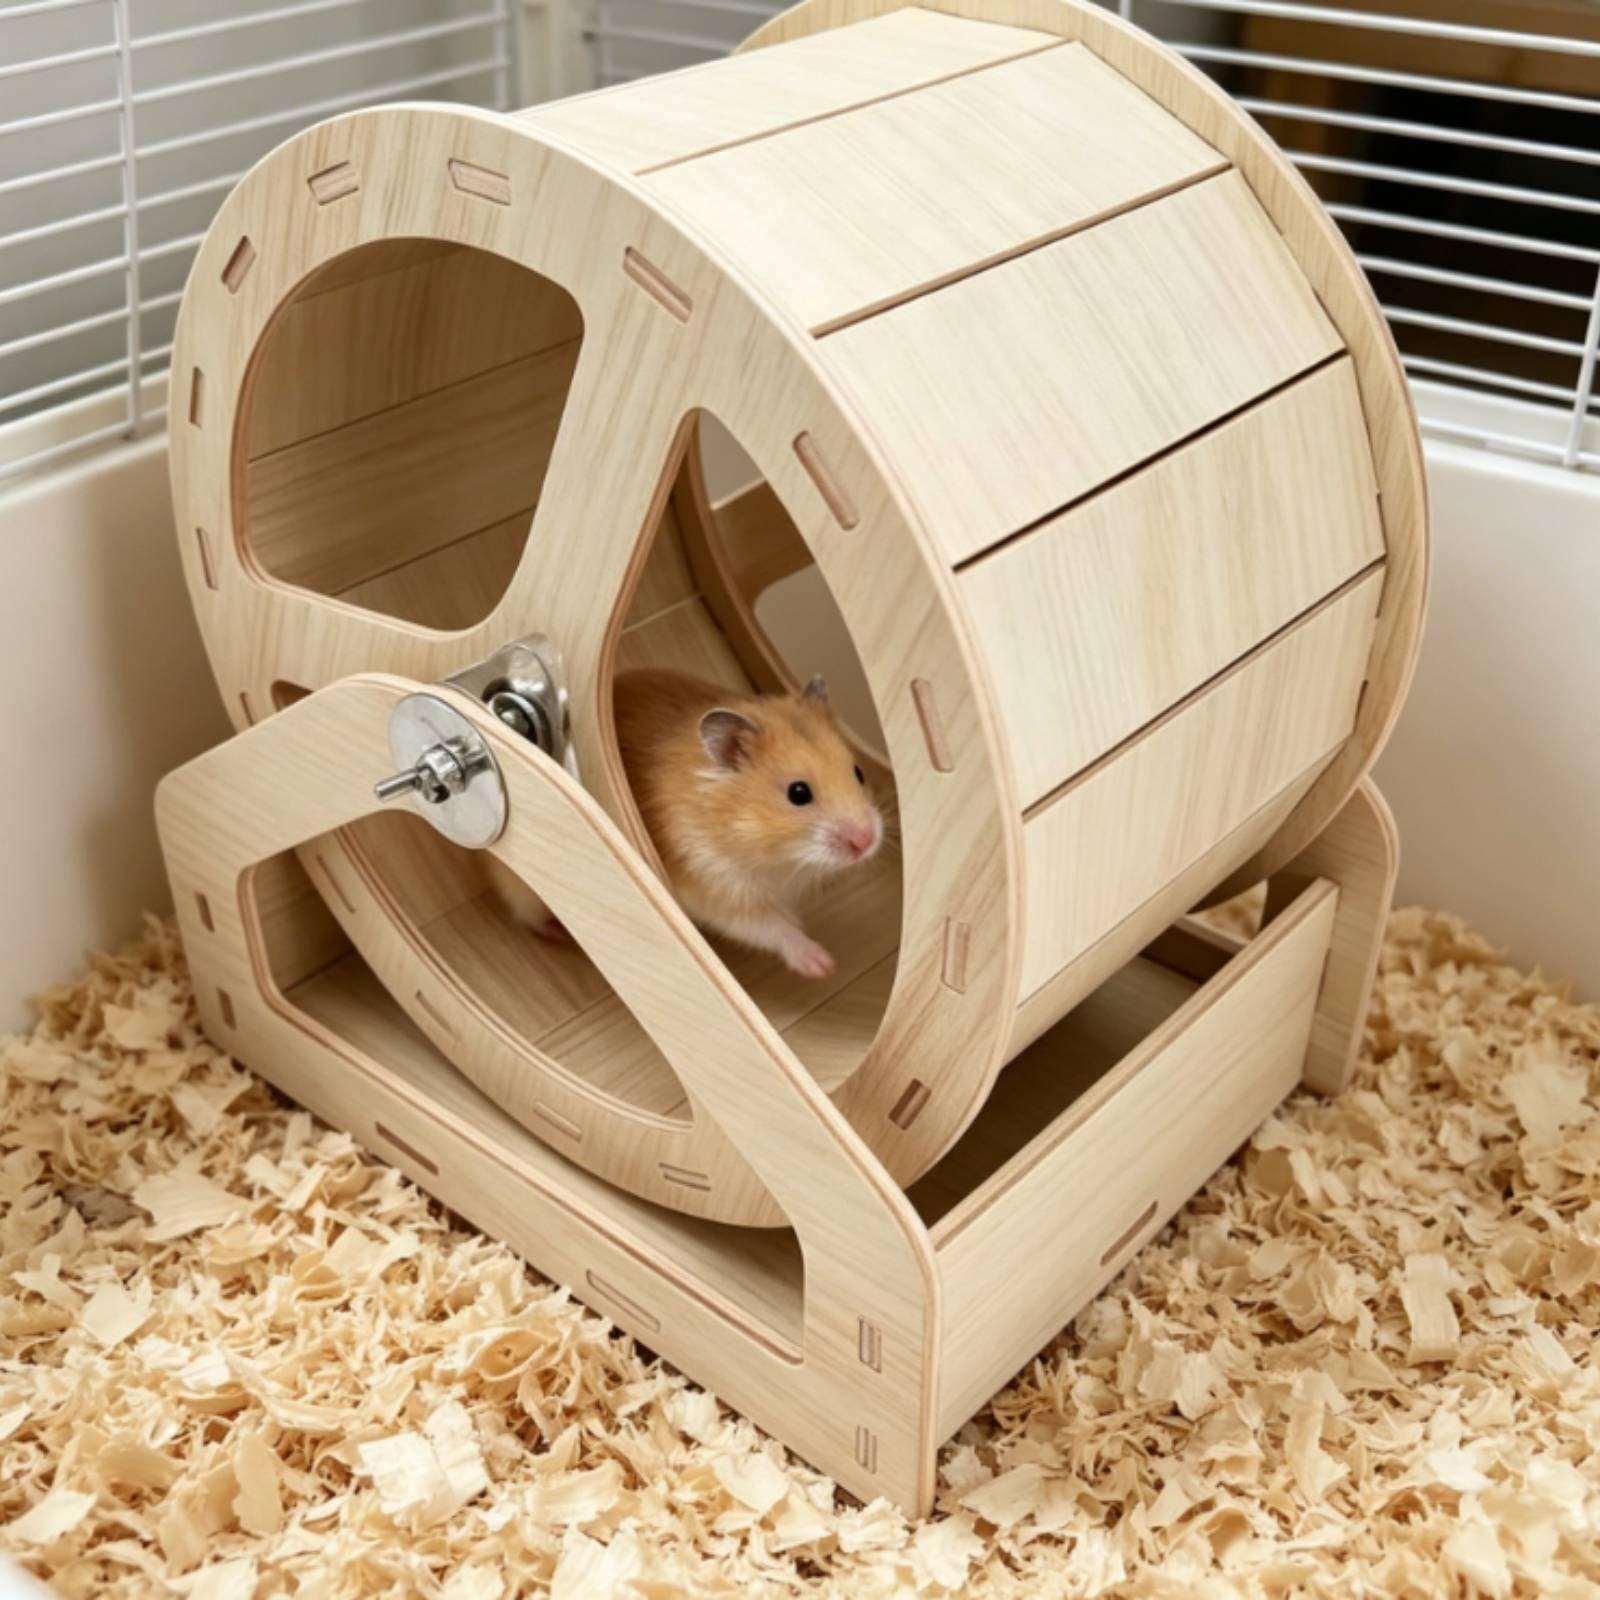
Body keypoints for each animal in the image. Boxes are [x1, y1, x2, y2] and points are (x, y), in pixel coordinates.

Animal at [486, 669, 884, 979]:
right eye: (798, 793)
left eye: (859, 773)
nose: (866, 842)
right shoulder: (715, 889)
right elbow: (771, 928)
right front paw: (822, 963)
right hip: (523, 890)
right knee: (526, 916)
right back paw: (560, 935)